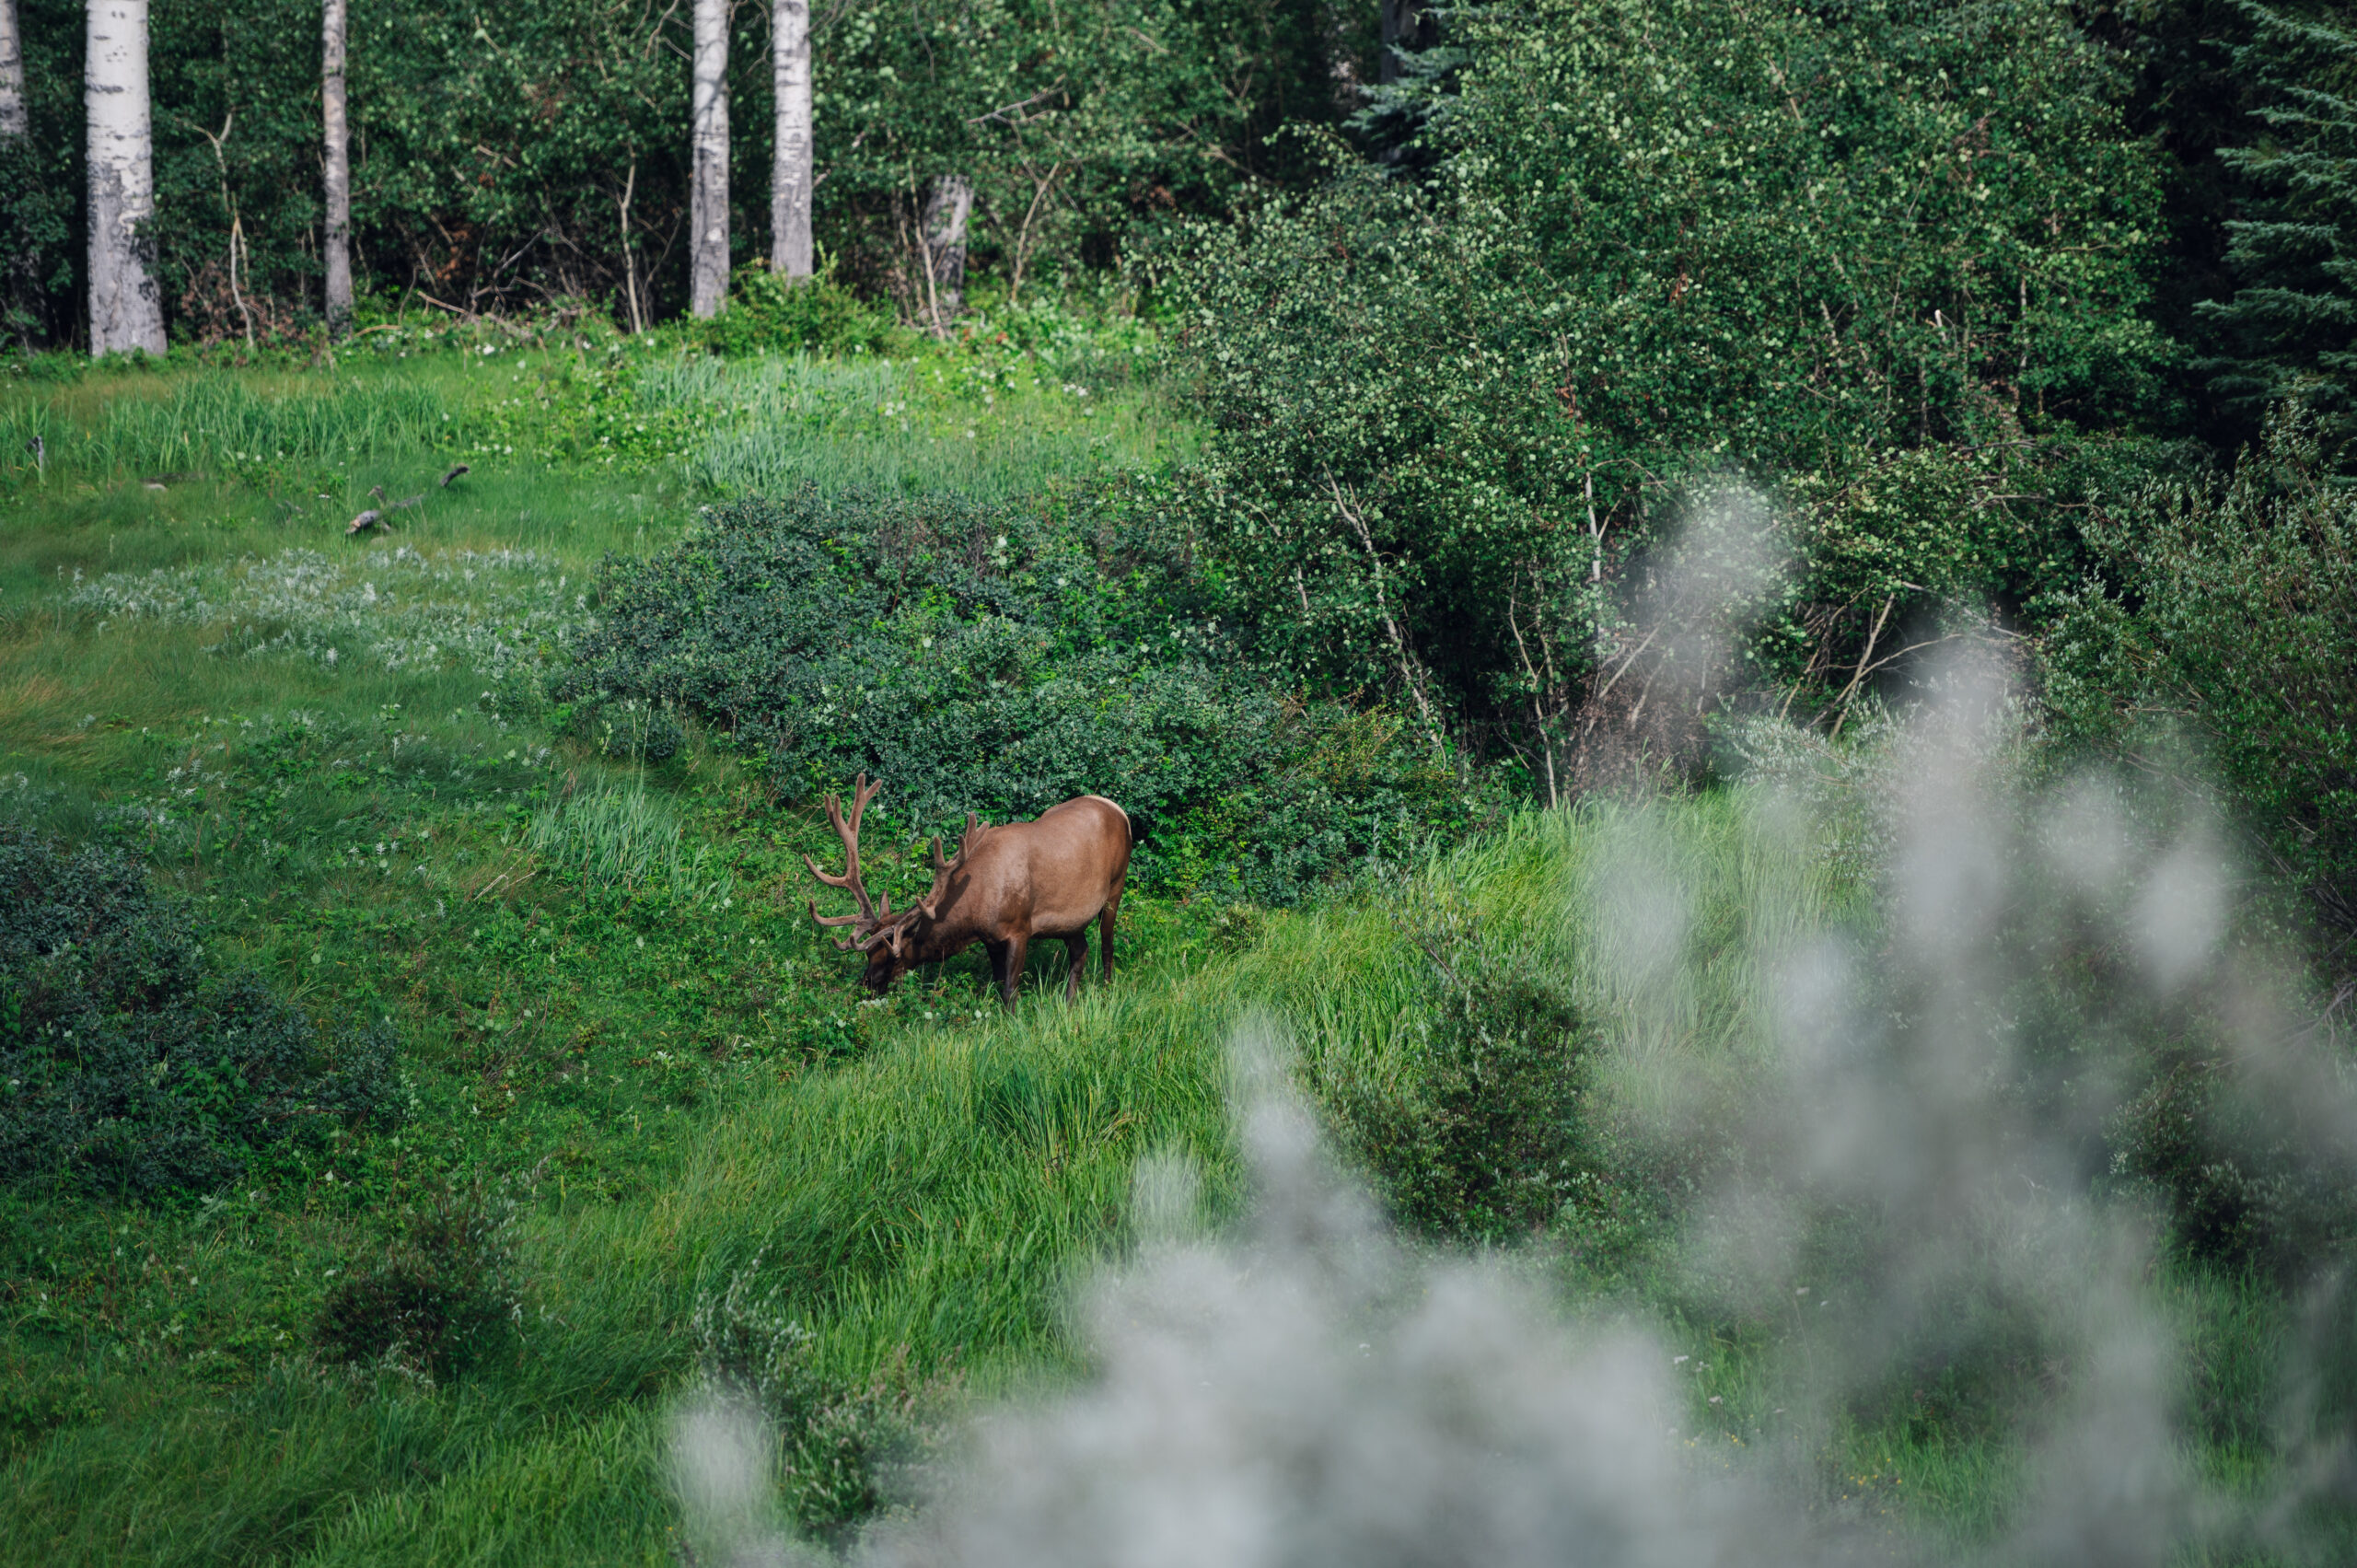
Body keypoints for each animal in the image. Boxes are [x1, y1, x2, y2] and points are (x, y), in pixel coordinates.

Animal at [804, 774, 1131, 1007]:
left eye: (894, 956)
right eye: (868, 954)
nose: (867, 985)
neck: (975, 908)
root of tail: (1119, 810)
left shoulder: (1020, 927)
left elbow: (1010, 990)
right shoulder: (991, 938)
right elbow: (998, 983)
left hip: (1116, 885)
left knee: (1106, 945)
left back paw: (1106, 991)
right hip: (1070, 920)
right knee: (1081, 951)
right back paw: (1068, 1002)